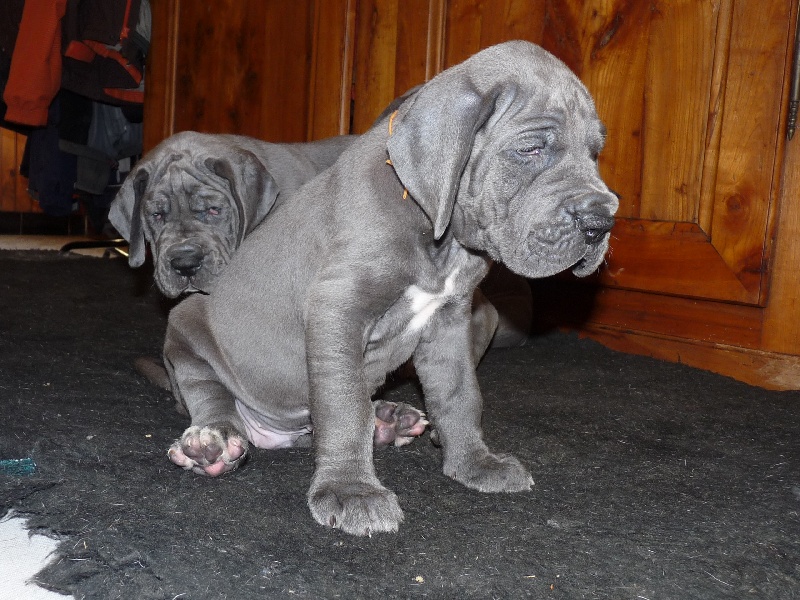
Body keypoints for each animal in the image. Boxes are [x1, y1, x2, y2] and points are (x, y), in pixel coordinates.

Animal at [162, 40, 618, 536]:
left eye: (595, 153)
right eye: (531, 148)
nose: (601, 223)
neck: (439, 238)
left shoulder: (451, 320)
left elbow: (460, 394)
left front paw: (474, 463)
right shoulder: (338, 309)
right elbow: (344, 407)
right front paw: (350, 490)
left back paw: (389, 419)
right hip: (186, 325)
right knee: (210, 395)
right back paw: (211, 443)